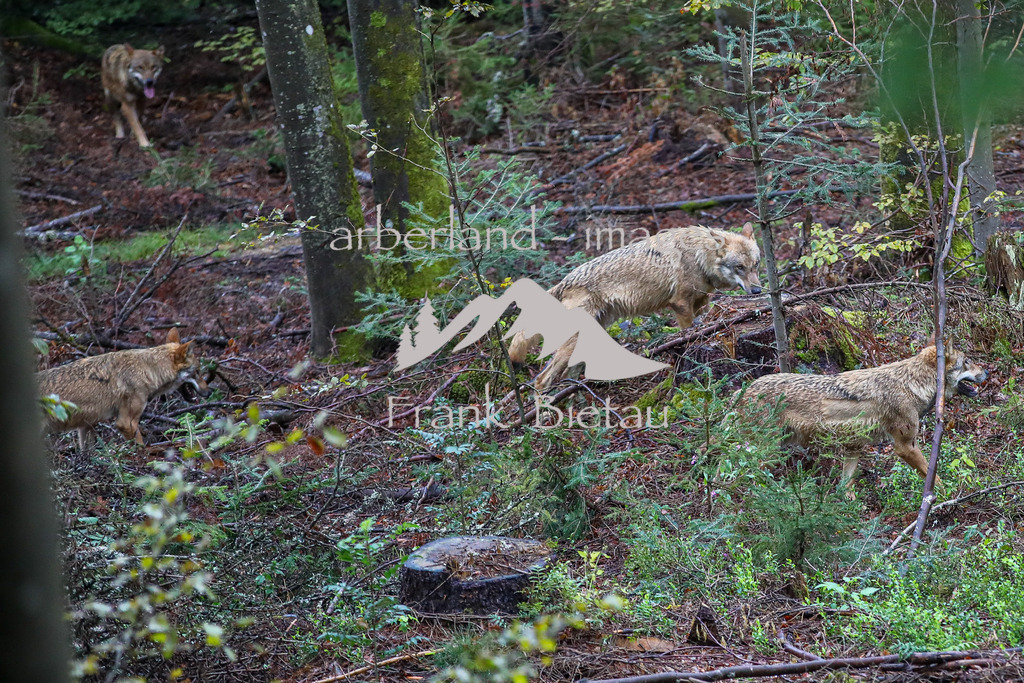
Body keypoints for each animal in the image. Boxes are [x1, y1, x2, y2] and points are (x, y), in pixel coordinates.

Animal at [38, 328, 209, 449]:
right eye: (198, 371)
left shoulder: (87, 425)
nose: (209, 391)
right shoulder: (126, 422)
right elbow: (140, 448)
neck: (148, 369)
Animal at [508, 223, 762, 390]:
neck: (700, 256)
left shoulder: (701, 302)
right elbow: (687, 331)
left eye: (756, 265)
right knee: (541, 381)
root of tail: (564, 281)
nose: (757, 291)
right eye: (739, 267)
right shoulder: (680, 304)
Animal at [737, 342, 987, 493]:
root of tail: (743, 391)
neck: (911, 384)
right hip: (766, 451)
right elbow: (933, 477)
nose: (987, 371)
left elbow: (845, 486)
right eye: (967, 361)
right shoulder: (905, 446)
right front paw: (947, 497)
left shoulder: (853, 447)